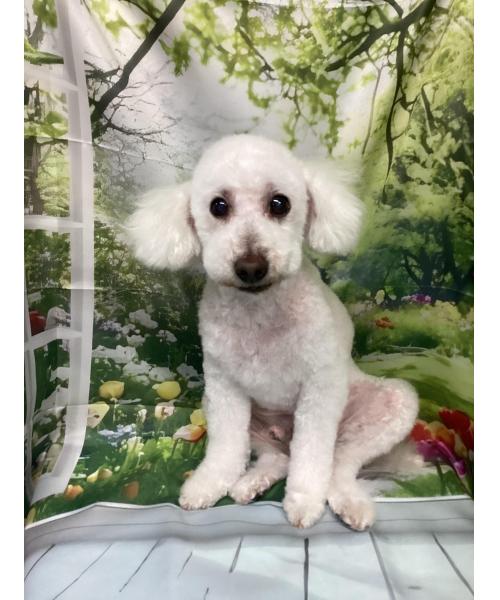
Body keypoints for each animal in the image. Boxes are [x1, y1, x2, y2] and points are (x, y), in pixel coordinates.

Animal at [127, 134, 419, 530]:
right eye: (218, 206)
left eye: (280, 203)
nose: (251, 266)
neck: (260, 315)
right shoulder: (224, 387)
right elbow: (225, 449)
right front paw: (208, 484)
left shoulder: (319, 389)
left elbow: (312, 455)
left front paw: (303, 501)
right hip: (232, 412)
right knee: (276, 457)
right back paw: (249, 484)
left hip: (392, 406)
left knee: (338, 464)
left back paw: (350, 503)